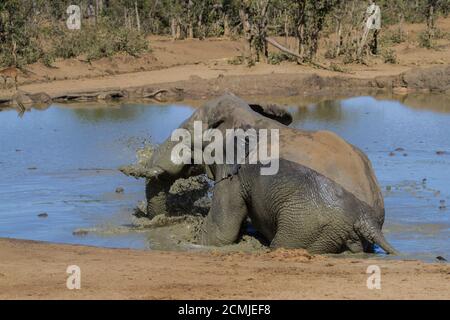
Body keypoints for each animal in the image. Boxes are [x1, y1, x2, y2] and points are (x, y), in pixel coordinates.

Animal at [120, 93, 398, 255]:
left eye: (185, 135)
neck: (246, 114)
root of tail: (369, 218)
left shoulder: (233, 172)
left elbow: (220, 232)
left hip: (312, 224)